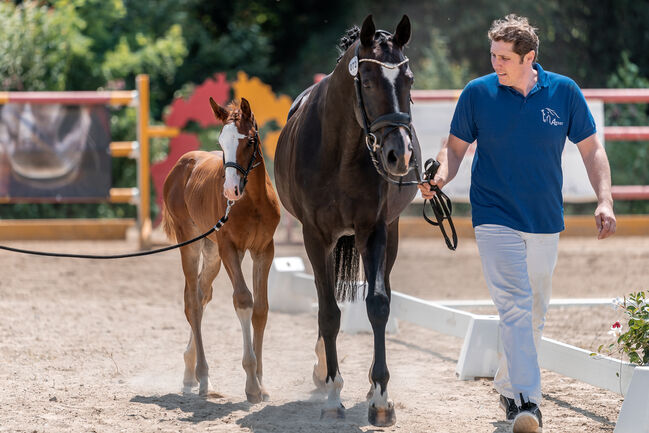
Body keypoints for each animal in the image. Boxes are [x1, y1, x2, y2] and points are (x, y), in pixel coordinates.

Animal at [161, 97, 278, 402]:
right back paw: (203, 377)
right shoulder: (230, 249)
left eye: (250, 141)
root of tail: (181, 164)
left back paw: (190, 375)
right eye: (221, 142)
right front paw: (251, 384)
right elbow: (243, 300)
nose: (230, 191)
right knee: (192, 301)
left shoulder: (265, 250)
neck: (253, 201)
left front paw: (262, 382)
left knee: (202, 296)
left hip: (210, 251)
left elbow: (261, 309)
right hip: (190, 243)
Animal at [274, 14, 420, 426]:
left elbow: (378, 305)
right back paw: (322, 372)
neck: (340, 149)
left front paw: (381, 398)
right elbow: (328, 313)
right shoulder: (315, 236)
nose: (399, 156)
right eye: (367, 81)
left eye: (409, 80)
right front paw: (332, 394)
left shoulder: (374, 230)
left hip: (389, 234)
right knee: (324, 302)